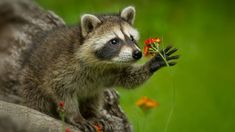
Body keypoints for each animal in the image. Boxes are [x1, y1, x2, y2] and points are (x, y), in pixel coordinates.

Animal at [20, 6, 179, 126]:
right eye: (114, 41)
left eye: (132, 38)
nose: (137, 54)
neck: (102, 63)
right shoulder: (62, 67)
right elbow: (62, 92)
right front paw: (74, 116)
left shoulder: (111, 71)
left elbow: (128, 78)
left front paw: (153, 63)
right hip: (31, 82)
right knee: (38, 102)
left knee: (93, 97)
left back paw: (91, 114)